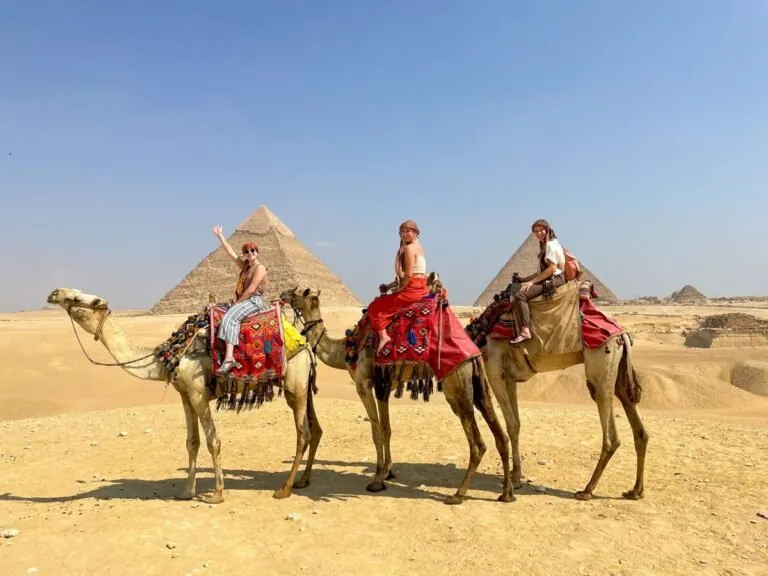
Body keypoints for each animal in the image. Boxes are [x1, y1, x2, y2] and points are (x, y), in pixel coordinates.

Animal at [46, 287, 323, 503]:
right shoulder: (185, 395)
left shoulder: (198, 393)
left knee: (303, 433)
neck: (170, 356)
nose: (54, 293)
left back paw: (284, 489)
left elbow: (213, 441)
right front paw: (187, 491)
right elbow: (192, 442)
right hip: (303, 387)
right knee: (315, 429)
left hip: (295, 386)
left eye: (80, 298)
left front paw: (217, 493)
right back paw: (302, 481)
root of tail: (306, 346)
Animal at [279, 284, 515, 505]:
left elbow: (376, 431)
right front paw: (387, 472)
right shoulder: (383, 387)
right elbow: (387, 429)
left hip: (456, 384)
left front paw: (376, 480)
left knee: (478, 443)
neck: (345, 349)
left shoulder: (364, 385)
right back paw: (507, 493)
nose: (282, 295)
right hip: (478, 384)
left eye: (296, 292)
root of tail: (473, 351)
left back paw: (458, 494)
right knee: (500, 435)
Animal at [474, 279, 649, 501]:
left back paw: (587, 490)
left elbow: (511, 425)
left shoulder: (494, 371)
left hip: (601, 367)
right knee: (638, 425)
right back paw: (636, 490)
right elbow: (517, 425)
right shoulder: (509, 378)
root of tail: (623, 334)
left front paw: (513, 483)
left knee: (611, 435)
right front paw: (516, 475)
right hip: (618, 372)